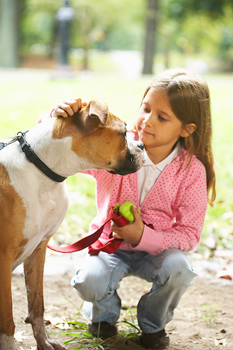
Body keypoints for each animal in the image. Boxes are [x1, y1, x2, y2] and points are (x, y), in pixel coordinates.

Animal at [0, 100, 146, 348]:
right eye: (123, 133)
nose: (143, 145)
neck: (41, 169)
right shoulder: (3, 258)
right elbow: (8, 321)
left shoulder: (38, 249)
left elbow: (37, 305)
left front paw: (44, 342)